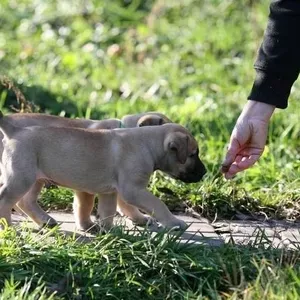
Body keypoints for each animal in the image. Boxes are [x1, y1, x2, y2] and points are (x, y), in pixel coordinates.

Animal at [0, 113, 206, 231]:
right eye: (193, 154)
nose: (204, 173)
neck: (147, 143)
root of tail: (14, 130)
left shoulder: (110, 192)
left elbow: (108, 210)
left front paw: (108, 231)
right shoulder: (132, 190)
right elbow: (157, 204)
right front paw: (174, 223)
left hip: (35, 179)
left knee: (24, 201)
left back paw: (45, 221)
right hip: (22, 178)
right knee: (8, 200)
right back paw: (9, 227)